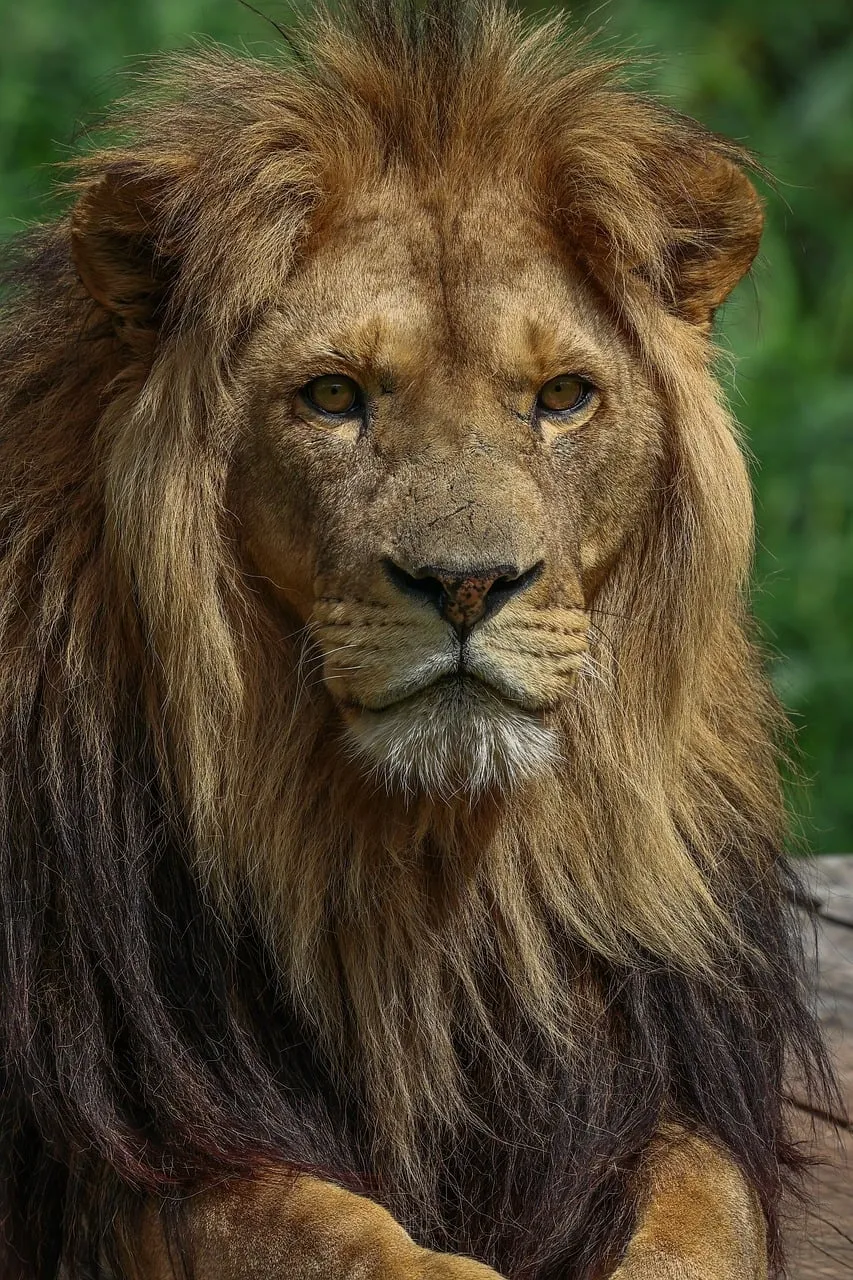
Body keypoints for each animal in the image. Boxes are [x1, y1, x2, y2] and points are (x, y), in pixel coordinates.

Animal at [0, 2, 834, 1278]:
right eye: (334, 396)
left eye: (562, 397)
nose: (466, 583)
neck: (438, 870)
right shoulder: (122, 1149)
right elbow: (318, 1228)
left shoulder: (659, 1087)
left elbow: (705, 1217)